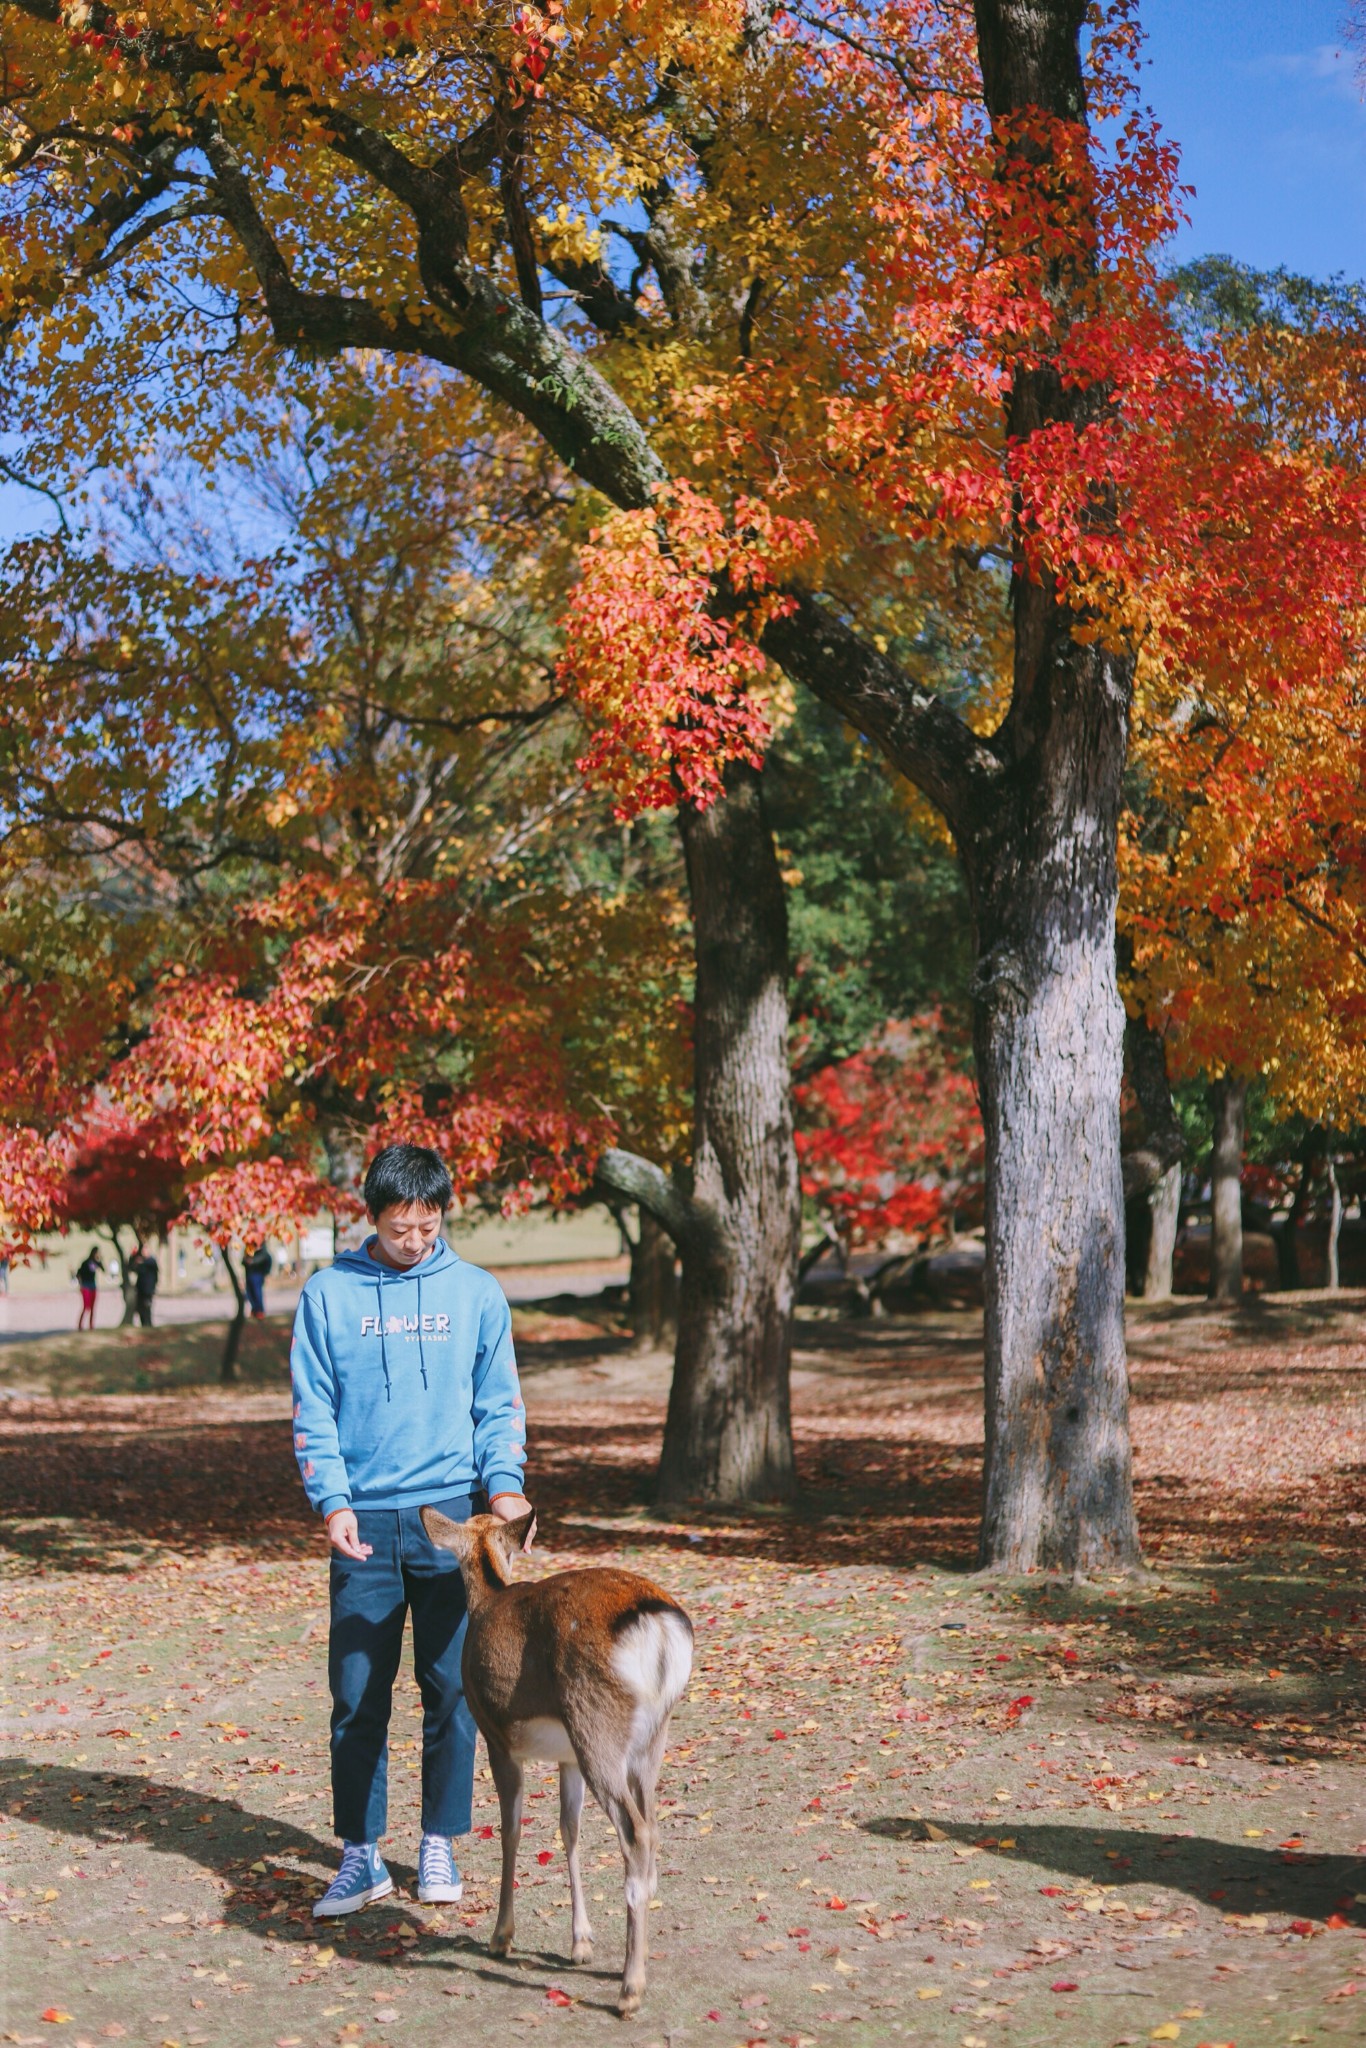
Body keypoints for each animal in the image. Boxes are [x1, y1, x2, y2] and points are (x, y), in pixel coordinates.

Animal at [417, 1507, 696, 2015]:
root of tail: (660, 1626)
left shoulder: (495, 1735)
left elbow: (510, 1829)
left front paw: (501, 1937)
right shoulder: (566, 1759)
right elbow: (570, 1830)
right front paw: (581, 1942)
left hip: (595, 1723)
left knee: (636, 1832)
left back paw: (630, 1990)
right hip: (649, 1737)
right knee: (652, 1823)